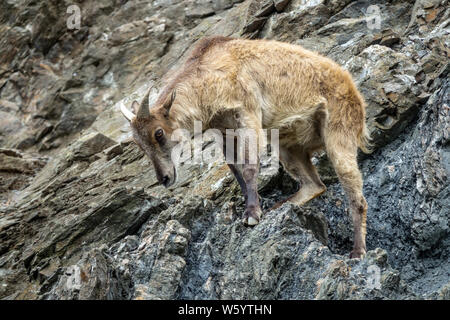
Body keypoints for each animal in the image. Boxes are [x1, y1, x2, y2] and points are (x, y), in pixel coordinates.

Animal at [119, 36, 370, 258]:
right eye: (138, 143)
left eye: (158, 133)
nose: (164, 178)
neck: (209, 75)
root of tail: (355, 92)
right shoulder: (224, 130)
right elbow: (235, 167)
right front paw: (250, 207)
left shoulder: (248, 113)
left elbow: (249, 166)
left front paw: (252, 214)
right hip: (287, 148)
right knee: (315, 185)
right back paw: (278, 207)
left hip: (339, 133)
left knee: (355, 196)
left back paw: (358, 252)